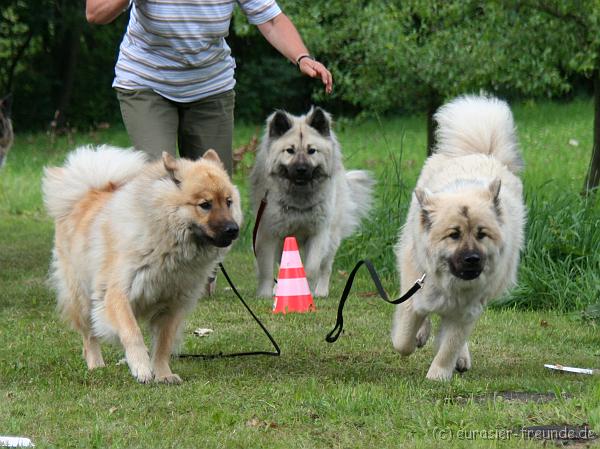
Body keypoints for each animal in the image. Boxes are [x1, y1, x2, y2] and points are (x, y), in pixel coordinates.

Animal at [42, 147, 241, 382]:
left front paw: (163, 374)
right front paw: (141, 367)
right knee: (89, 335)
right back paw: (96, 365)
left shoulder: (172, 307)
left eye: (228, 202)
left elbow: (163, 345)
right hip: (81, 297)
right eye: (205, 205)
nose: (233, 229)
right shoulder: (118, 295)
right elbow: (132, 333)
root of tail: (88, 192)